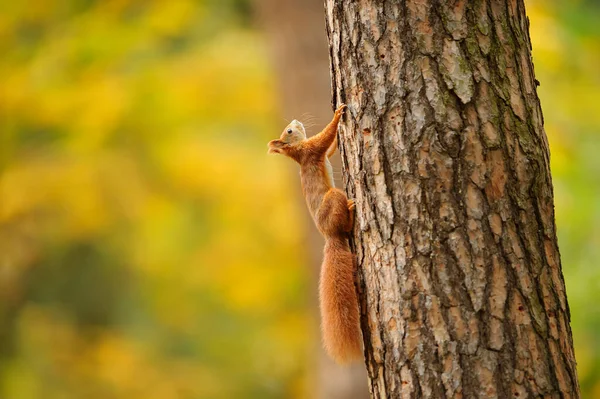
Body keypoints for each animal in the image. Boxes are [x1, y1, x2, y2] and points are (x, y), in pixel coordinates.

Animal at [268, 104, 360, 364]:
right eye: (289, 131)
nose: (296, 120)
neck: (296, 153)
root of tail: (330, 237)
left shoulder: (316, 152)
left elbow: (330, 149)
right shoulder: (311, 149)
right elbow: (324, 139)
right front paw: (338, 115)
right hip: (334, 199)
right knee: (344, 225)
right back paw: (351, 211)